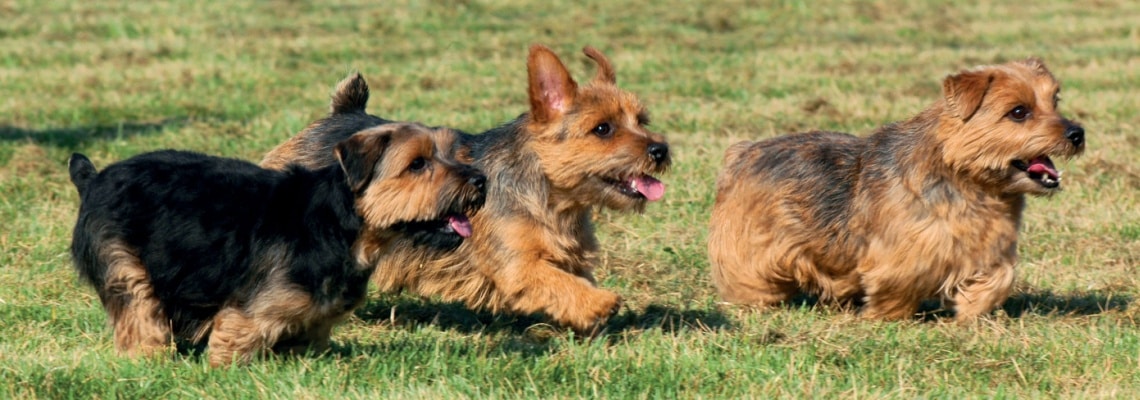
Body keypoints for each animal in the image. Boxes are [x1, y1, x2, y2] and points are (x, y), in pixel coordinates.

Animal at [67, 123, 485, 369]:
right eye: (417, 164)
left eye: (454, 155)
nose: (479, 180)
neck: (341, 225)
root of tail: (94, 178)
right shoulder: (249, 315)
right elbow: (233, 345)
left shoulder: (314, 320)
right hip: (122, 261)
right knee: (139, 311)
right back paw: (150, 360)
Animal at [262, 43, 670, 332]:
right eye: (603, 129)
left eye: (642, 120)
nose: (660, 149)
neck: (551, 197)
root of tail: (338, 116)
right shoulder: (518, 267)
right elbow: (558, 283)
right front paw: (600, 303)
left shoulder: (572, 257)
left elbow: (570, 283)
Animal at [711, 58, 1085, 323]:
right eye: (1019, 112)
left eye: (1055, 101)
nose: (1077, 132)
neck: (971, 184)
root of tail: (742, 152)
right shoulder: (901, 253)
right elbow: (898, 283)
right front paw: (886, 316)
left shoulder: (992, 246)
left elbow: (1000, 278)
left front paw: (970, 311)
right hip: (752, 248)